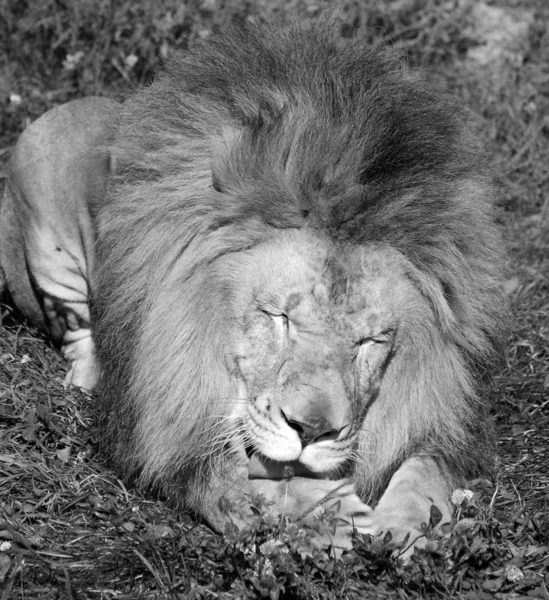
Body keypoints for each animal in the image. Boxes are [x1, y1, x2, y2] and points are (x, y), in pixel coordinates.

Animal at [1, 21, 506, 556]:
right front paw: (330, 517)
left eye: (370, 342)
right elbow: (246, 478)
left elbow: (427, 472)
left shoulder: (445, 414)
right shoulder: (169, 421)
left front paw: (409, 528)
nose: (313, 430)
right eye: (278, 318)